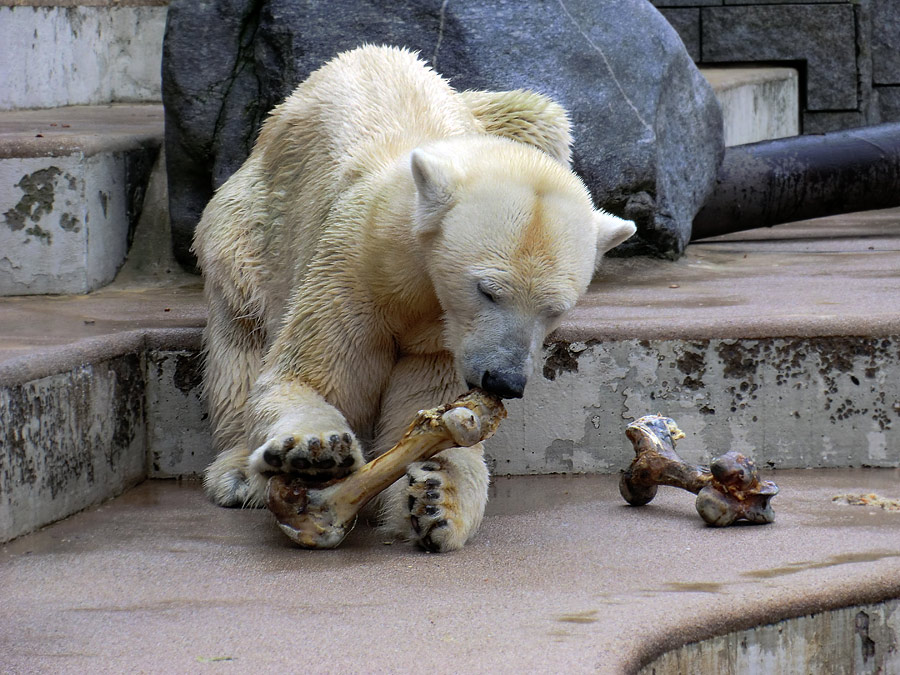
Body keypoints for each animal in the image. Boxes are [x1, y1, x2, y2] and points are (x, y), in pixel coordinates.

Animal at [194, 47, 636, 556]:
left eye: (556, 309)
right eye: (487, 290)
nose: (504, 381)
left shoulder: (444, 339)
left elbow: (426, 413)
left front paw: (435, 500)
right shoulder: (355, 270)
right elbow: (307, 378)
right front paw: (314, 453)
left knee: (540, 114)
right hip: (246, 230)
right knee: (239, 336)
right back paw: (237, 472)